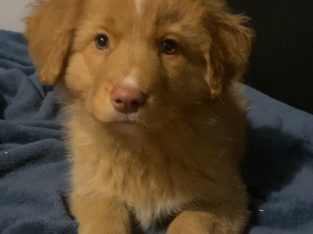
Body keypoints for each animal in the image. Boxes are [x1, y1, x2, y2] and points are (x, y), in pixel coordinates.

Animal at [25, 0, 252, 233]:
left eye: (169, 46)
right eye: (101, 41)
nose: (127, 99)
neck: (139, 147)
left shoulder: (226, 199)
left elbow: (188, 222)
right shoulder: (93, 189)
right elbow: (106, 219)